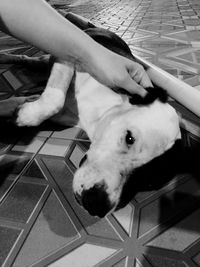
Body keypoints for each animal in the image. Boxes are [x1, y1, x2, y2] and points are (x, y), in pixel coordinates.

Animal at [0, 13, 181, 218]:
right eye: (129, 138)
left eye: (148, 181)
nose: (97, 204)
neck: (98, 108)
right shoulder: (68, 58)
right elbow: (54, 99)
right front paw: (27, 115)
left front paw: (17, 113)